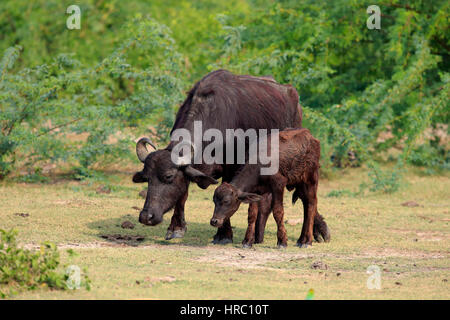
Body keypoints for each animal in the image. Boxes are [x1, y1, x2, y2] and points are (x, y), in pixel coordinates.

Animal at [132, 70, 304, 244]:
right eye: (147, 178)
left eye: (168, 176)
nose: (147, 216)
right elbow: (182, 195)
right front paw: (176, 228)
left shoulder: (232, 166)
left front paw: (224, 234)